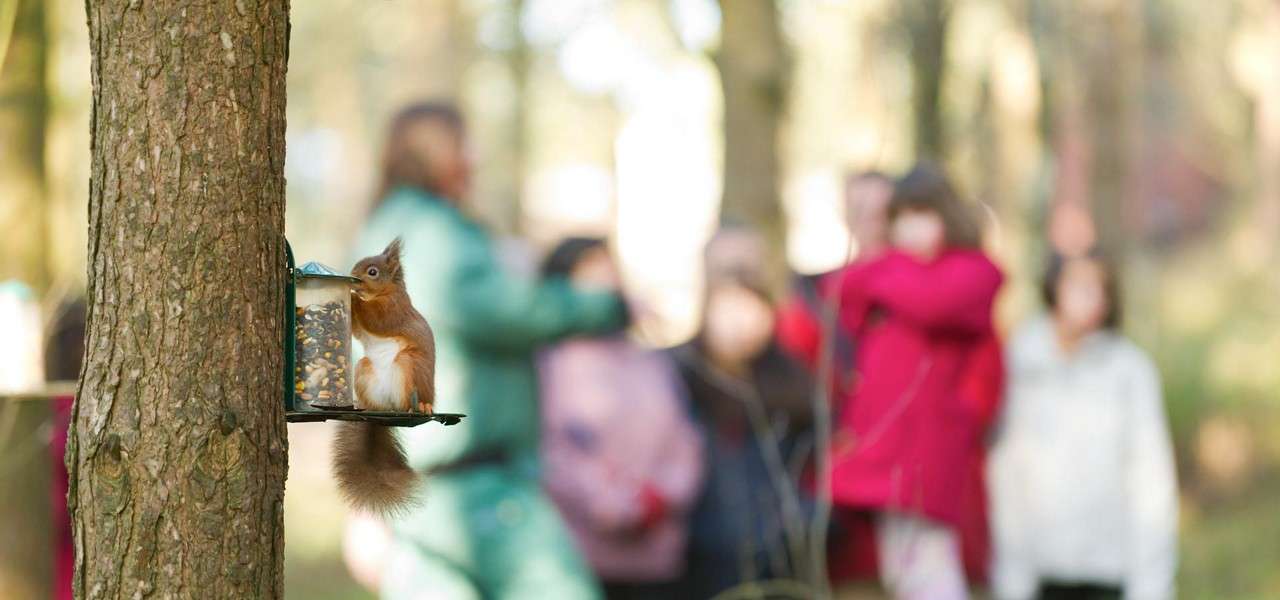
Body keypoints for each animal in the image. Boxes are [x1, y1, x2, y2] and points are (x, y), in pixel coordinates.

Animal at [331, 237, 436, 514]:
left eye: (372, 272)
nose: (353, 277)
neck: (384, 292)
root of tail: (387, 412)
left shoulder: (395, 309)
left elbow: (378, 320)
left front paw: (352, 296)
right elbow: (359, 328)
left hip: (409, 365)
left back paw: (421, 406)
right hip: (364, 368)